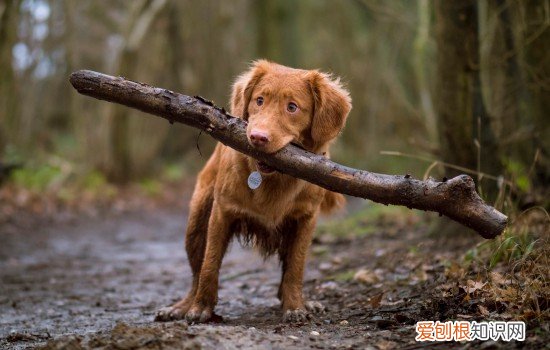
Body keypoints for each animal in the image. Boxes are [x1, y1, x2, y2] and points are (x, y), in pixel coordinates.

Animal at [155, 59, 354, 322]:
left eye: (292, 107)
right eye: (259, 100)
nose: (258, 137)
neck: (273, 179)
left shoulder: (305, 219)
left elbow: (295, 268)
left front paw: (295, 306)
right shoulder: (222, 212)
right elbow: (210, 264)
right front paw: (201, 308)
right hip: (196, 223)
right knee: (197, 271)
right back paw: (182, 306)